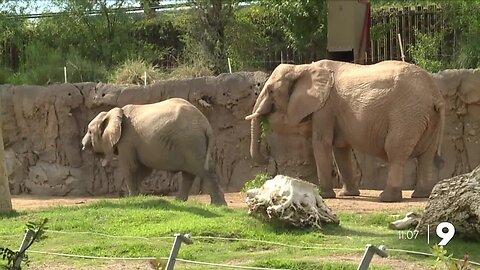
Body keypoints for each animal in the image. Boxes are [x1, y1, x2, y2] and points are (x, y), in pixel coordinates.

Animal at [81, 98, 228, 206]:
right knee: (190, 173)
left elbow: (131, 167)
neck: (113, 112)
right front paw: (137, 196)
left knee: (203, 171)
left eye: (90, 131)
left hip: (190, 142)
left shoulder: (127, 140)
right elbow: (144, 170)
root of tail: (206, 125)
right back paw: (180, 202)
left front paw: (131, 198)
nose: (82, 145)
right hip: (193, 144)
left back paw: (218, 206)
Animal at [248, 59, 446, 202]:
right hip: (429, 118)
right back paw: (421, 195)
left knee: (395, 150)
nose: (267, 159)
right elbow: (340, 148)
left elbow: (321, 143)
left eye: (271, 91)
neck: (303, 67)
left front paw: (324, 195)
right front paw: (348, 194)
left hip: (407, 115)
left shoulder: (324, 107)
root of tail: (434, 94)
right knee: (426, 156)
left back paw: (387, 198)